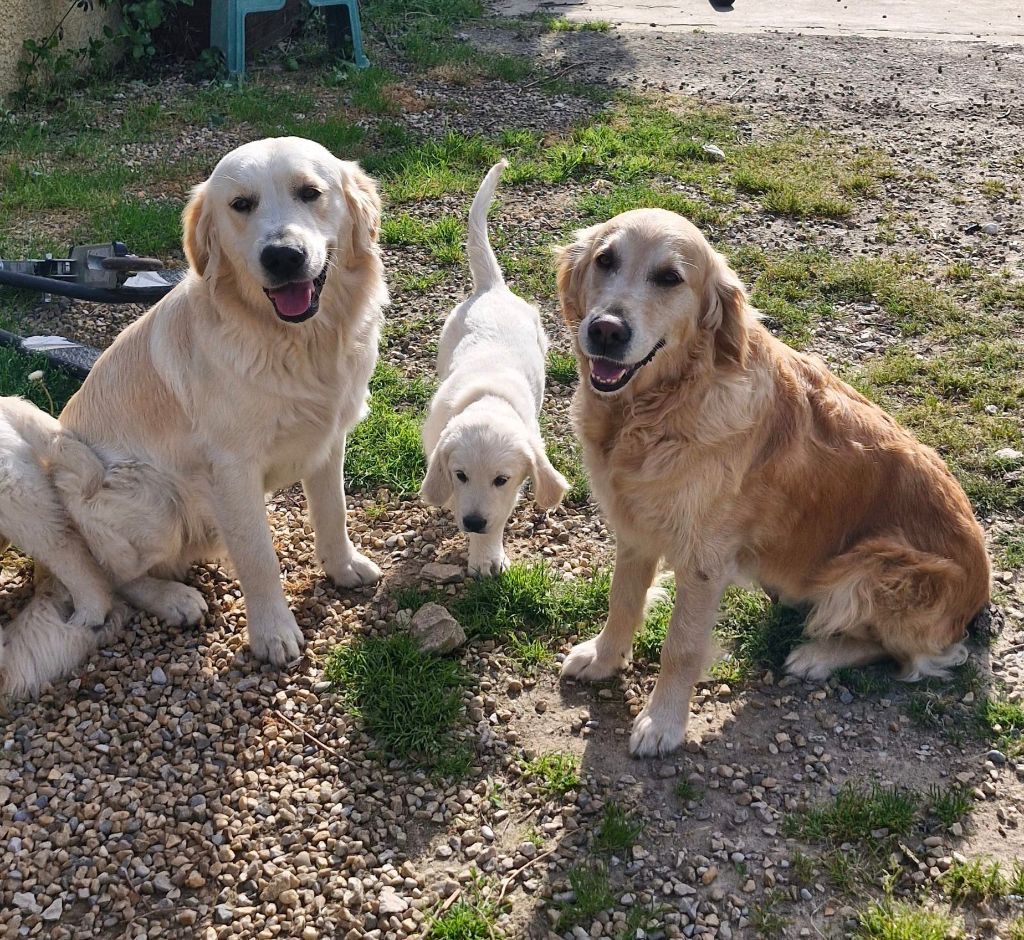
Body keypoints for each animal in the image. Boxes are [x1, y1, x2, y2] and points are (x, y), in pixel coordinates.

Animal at [419, 160, 573, 573]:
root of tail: (493, 288)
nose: (472, 522)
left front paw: (486, 553)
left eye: (501, 479)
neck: (488, 396)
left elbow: (501, 514)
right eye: (461, 475)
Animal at [557, 207, 987, 757]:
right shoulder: (635, 528)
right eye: (605, 260)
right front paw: (604, 658)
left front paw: (663, 722)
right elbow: (623, 601)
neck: (657, 409)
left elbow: (682, 646)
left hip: (872, 570)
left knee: (916, 656)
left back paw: (818, 654)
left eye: (670, 278)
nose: (606, 330)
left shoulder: (705, 561)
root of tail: (979, 596)